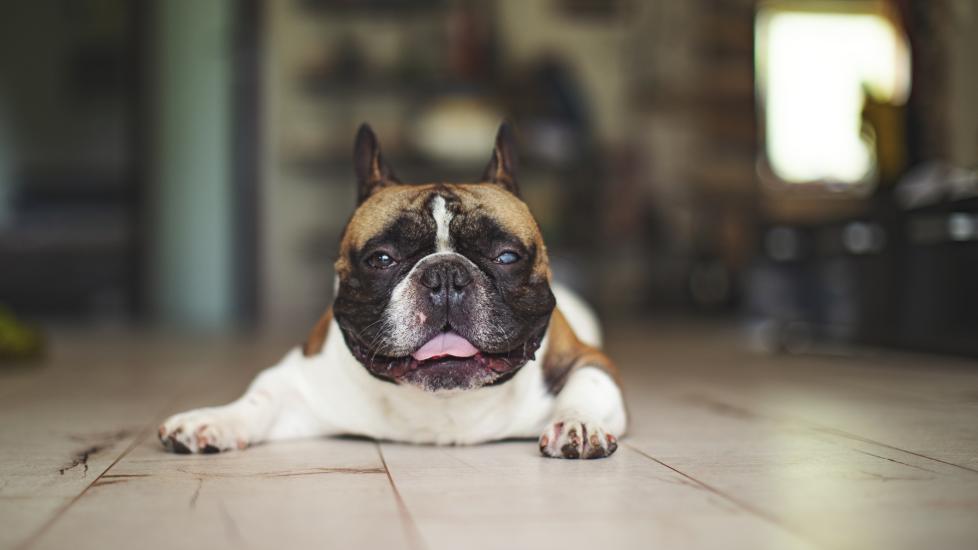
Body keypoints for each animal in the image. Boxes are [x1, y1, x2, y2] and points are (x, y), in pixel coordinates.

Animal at [158, 123, 624, 460]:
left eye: (507, 256)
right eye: (381, 258)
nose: (445, 275)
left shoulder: (586, 359)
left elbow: (588, 386)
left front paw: (579, 424)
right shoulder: (299, 378)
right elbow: (260, 398)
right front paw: (211, 420)